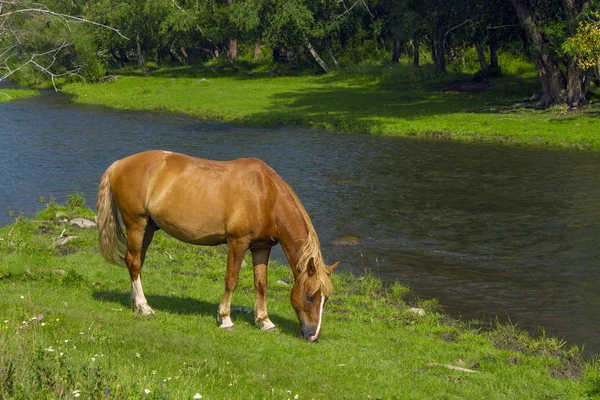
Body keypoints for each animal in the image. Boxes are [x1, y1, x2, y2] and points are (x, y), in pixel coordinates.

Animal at [94, 150, 338, 340]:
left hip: (148, 228)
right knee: (135, 263)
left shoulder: (261, 247)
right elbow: (231, 280)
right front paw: (225, 319)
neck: (266, 195)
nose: (313, 336)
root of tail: (119, 164)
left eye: (325, 299)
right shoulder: (238, 242)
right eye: (310, 296)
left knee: (134, 261)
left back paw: (136, 304)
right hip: (137, 223)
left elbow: (261, 284)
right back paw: (145, 307)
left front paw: (265, 322)